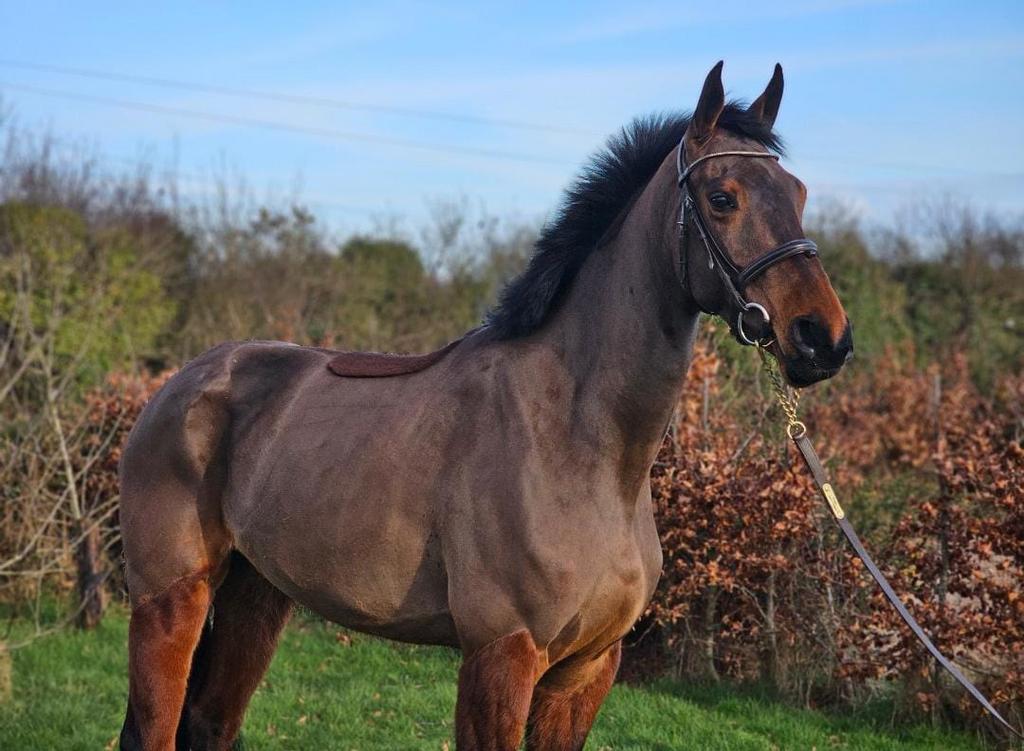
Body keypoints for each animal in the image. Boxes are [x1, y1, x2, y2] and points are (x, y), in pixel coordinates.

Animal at [118, 61, 852, 750]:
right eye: (722, 197)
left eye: (797, 193)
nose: (823, 338)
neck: (581, 447)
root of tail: (182, 385)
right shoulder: (502, 655)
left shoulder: (585, 670)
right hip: (171, 598)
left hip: (256, 594)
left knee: (209, 722)